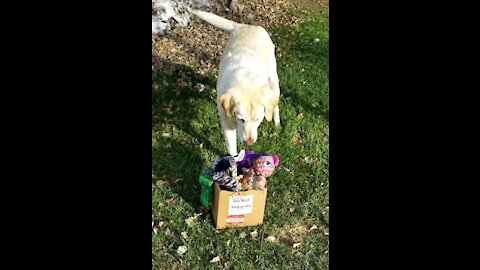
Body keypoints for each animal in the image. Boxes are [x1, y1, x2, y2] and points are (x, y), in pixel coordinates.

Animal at [191, 9, 282, 155]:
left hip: (273, 80)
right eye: (241, 119)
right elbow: (232, 150)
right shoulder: (227, 125)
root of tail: (246, 26)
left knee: (275, 105)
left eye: (257, 119)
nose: (249, 142)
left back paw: (277, 124)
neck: (246, 81)